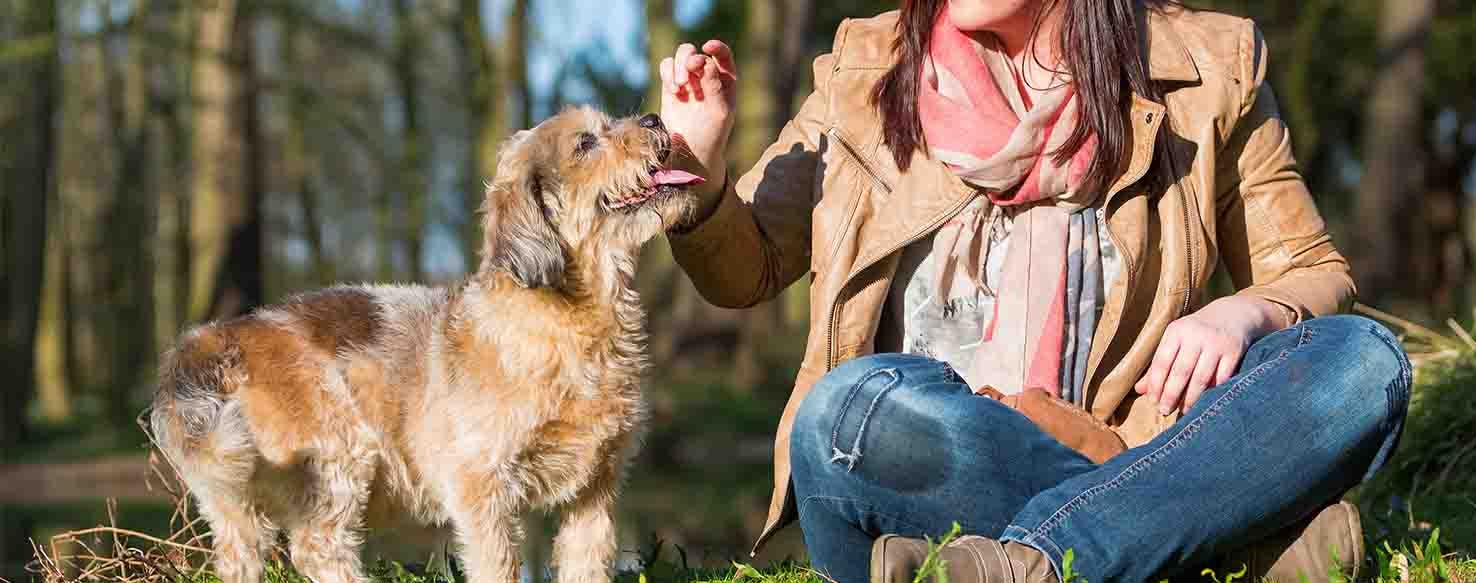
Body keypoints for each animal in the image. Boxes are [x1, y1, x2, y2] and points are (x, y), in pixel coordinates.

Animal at [149, 108, 702, 583]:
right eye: (586, 142)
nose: (654, 118)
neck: (572, 318)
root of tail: (214, 339)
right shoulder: (483, 489)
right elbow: (499, 566)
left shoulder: (594, 490)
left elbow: (588, 562)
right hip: (337, 462)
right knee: (317, 547)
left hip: (233, 500)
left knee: (241, 556)